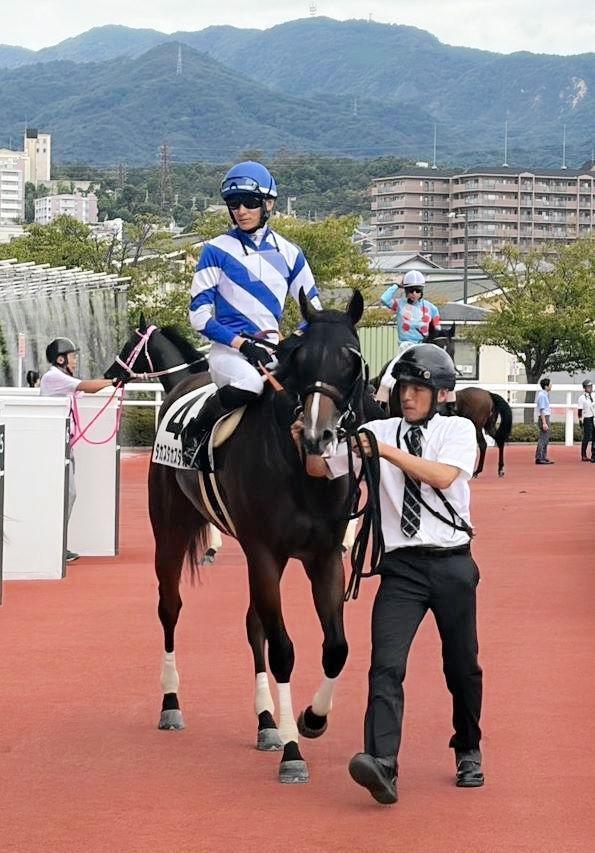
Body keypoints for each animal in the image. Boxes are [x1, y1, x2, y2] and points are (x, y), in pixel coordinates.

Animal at [105, 292, 369, 785]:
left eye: (352, 359)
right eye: (302, 358)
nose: (319, 434)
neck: (298, 467)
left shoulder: (322, 557)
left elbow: (336, 648)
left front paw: (311, 719)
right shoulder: (264, 552)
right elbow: (283, 649)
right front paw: (293, 752)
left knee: (253, 625)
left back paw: (266, 722)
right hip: (169, 531)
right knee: (170, 609)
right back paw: (172, 705)